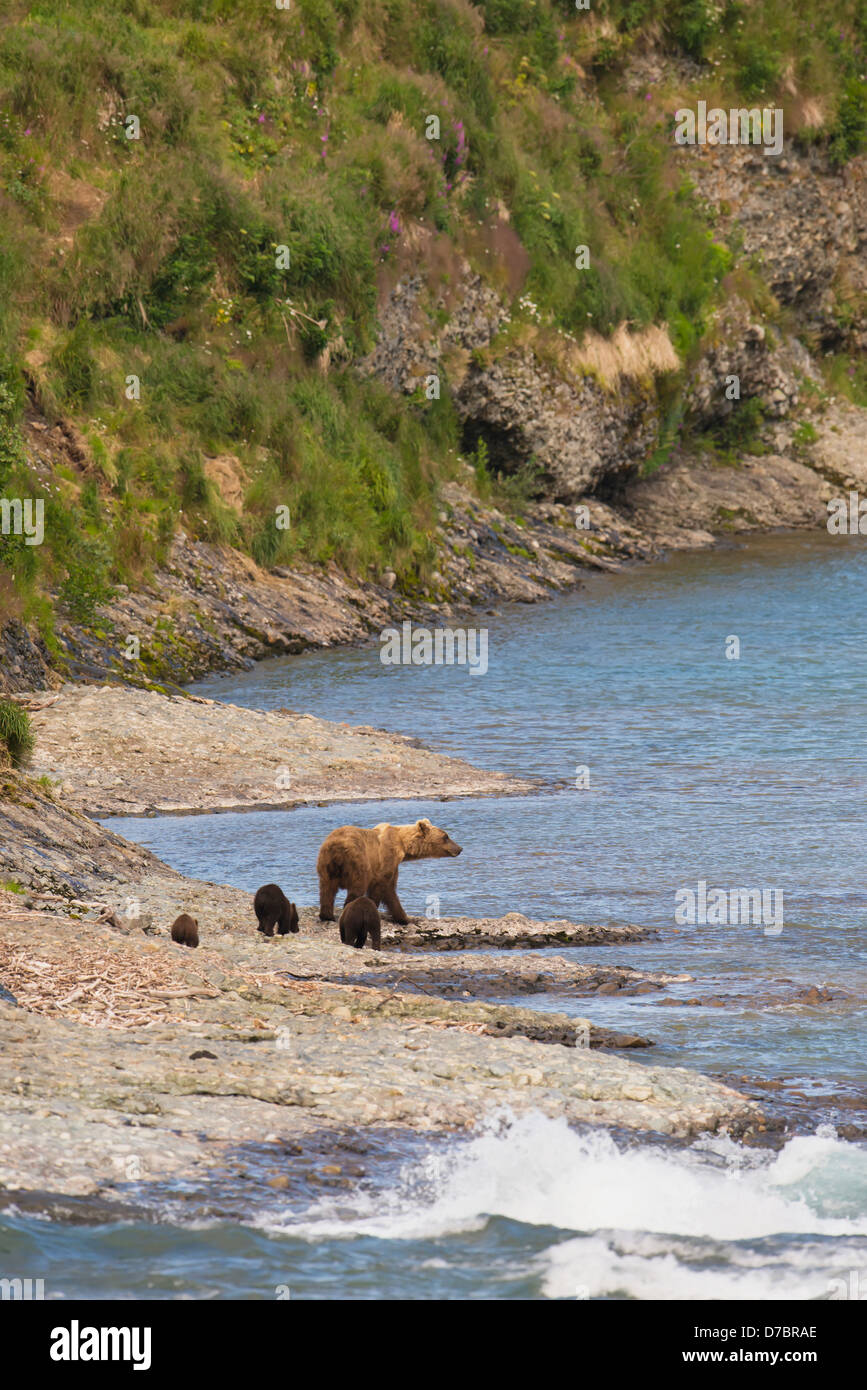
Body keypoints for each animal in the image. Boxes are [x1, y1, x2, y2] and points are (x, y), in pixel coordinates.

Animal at [316, 818, 461, 925]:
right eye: (446, 836)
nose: (460, 848)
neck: (403, 846)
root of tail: (336, 848)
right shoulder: (387, 858)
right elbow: (383, 888)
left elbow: (390, 893)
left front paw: (405, 918)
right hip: (357, 861)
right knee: (357, 887)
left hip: (325, 863)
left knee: (326, 889)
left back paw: (327, 916)